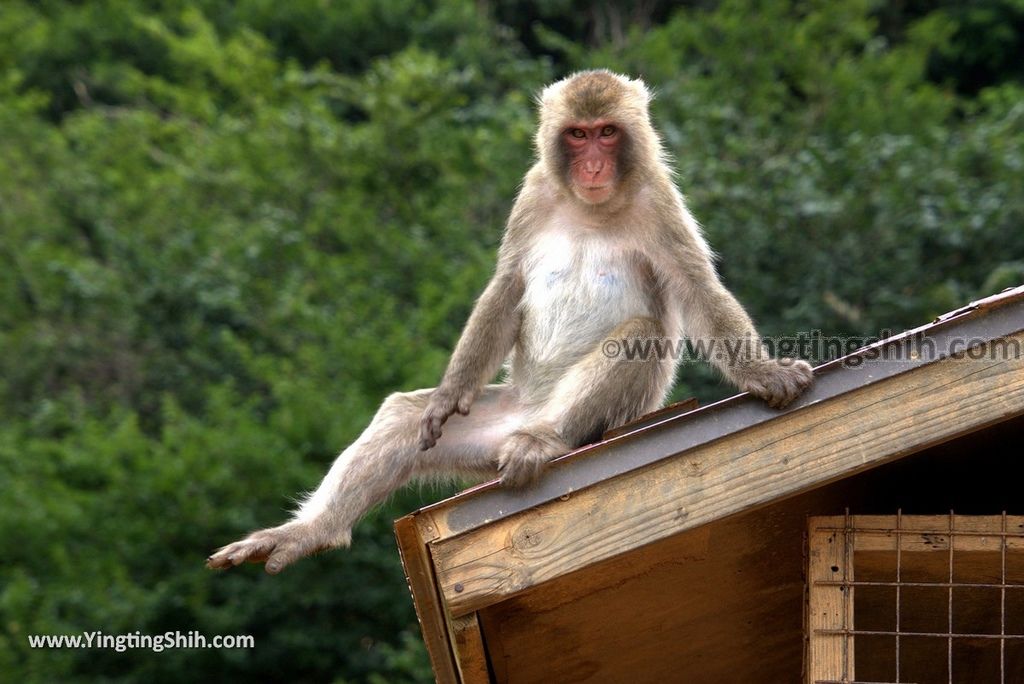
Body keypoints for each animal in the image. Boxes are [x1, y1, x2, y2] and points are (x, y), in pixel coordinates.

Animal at [207, 69, 815, 573]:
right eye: (577, 135)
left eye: (607, 133)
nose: (593, 164)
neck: (591, 205)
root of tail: (529, 414)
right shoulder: (534, 190)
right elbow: (507, 285)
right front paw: (450, 390)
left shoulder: (659, 200)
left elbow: (693, 288)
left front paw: (764, 374)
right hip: (488, 428)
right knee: (403, 417)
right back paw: (312, 532)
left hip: (590, 419)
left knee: (634, 340)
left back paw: (545, 441)